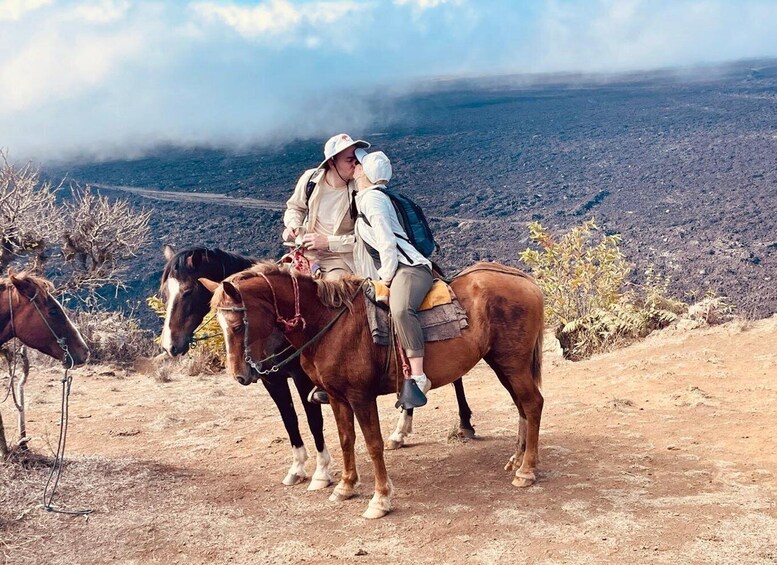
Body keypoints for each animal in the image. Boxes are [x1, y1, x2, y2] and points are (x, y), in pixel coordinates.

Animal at [206, 260, 544, 516]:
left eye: (236, 325)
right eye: (220, 325)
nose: (240, 375)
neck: (330, 323)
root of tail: (524, 279)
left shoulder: (360, 397)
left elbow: (373, 444)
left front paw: (380, 499)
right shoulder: (337, 398)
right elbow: (345, 440)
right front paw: (345, 486)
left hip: (512, 363)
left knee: (533, 404)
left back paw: (526, 470)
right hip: (502, 363)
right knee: (522, 406)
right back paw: (517, 460)